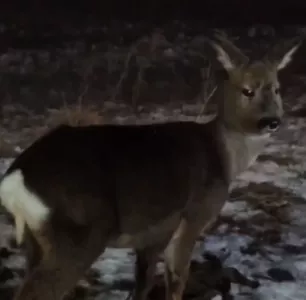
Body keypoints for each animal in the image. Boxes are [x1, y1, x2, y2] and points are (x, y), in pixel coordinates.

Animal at [0, 33, 302, 300]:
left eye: (277, 89)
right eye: (247, 90)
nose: (271, 121)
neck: (223, 155)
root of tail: (14, 180)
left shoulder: (154, 233)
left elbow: (143, 285)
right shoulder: (193, 215)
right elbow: (177, 281)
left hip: (36, 239)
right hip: (79, 233)